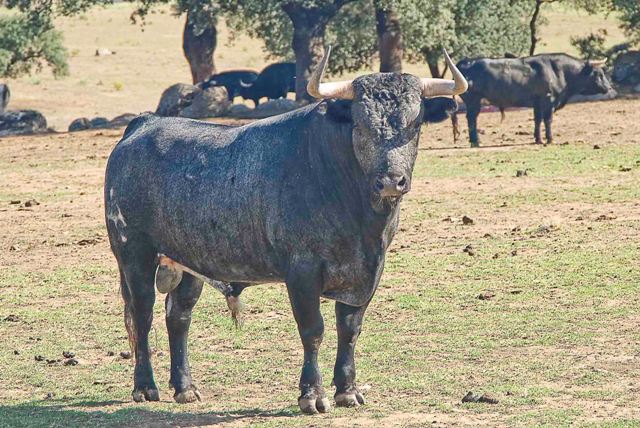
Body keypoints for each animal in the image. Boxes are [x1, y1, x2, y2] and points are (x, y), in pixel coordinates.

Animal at [104, 48, 464, 412]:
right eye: (361, 125)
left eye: (415, 123)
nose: (391, 181)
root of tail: (144, 124)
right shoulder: (302, 271)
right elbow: (313, 329)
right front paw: (312, 395)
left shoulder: (367, 273)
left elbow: (349, 330)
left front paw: (347, 390)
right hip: (134, 255)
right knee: (142, 314)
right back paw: (145, 387)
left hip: (189, 261)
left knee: (178, 316)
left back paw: (185, 387)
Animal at [452, 53, 612, 147]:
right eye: (598, 74)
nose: (609, 87)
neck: (558, 71)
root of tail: (465, 62)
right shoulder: (548, 100)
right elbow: (547, 120)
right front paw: (549, 139)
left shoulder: (537, 103)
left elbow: (537, 120)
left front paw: (538, 139)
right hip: (474, 100)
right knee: (472, 118)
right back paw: (475, 141)